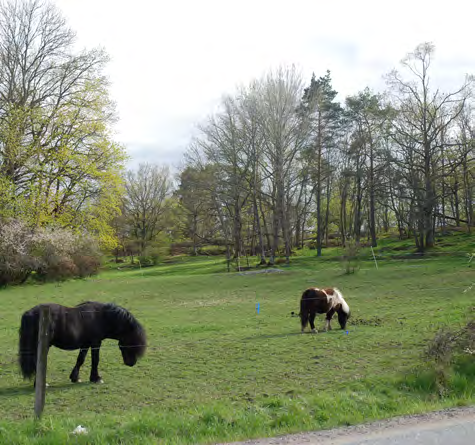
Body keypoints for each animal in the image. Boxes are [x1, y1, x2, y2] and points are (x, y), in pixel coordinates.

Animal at [18, 302, 147, 386]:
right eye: (133, 341)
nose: (131, 363)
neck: (102, 317)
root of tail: (30, 313)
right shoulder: (96, 343)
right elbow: (95, 360)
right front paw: (96, 378)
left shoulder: (85, 344)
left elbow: (80, 359)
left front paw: (75, 377)